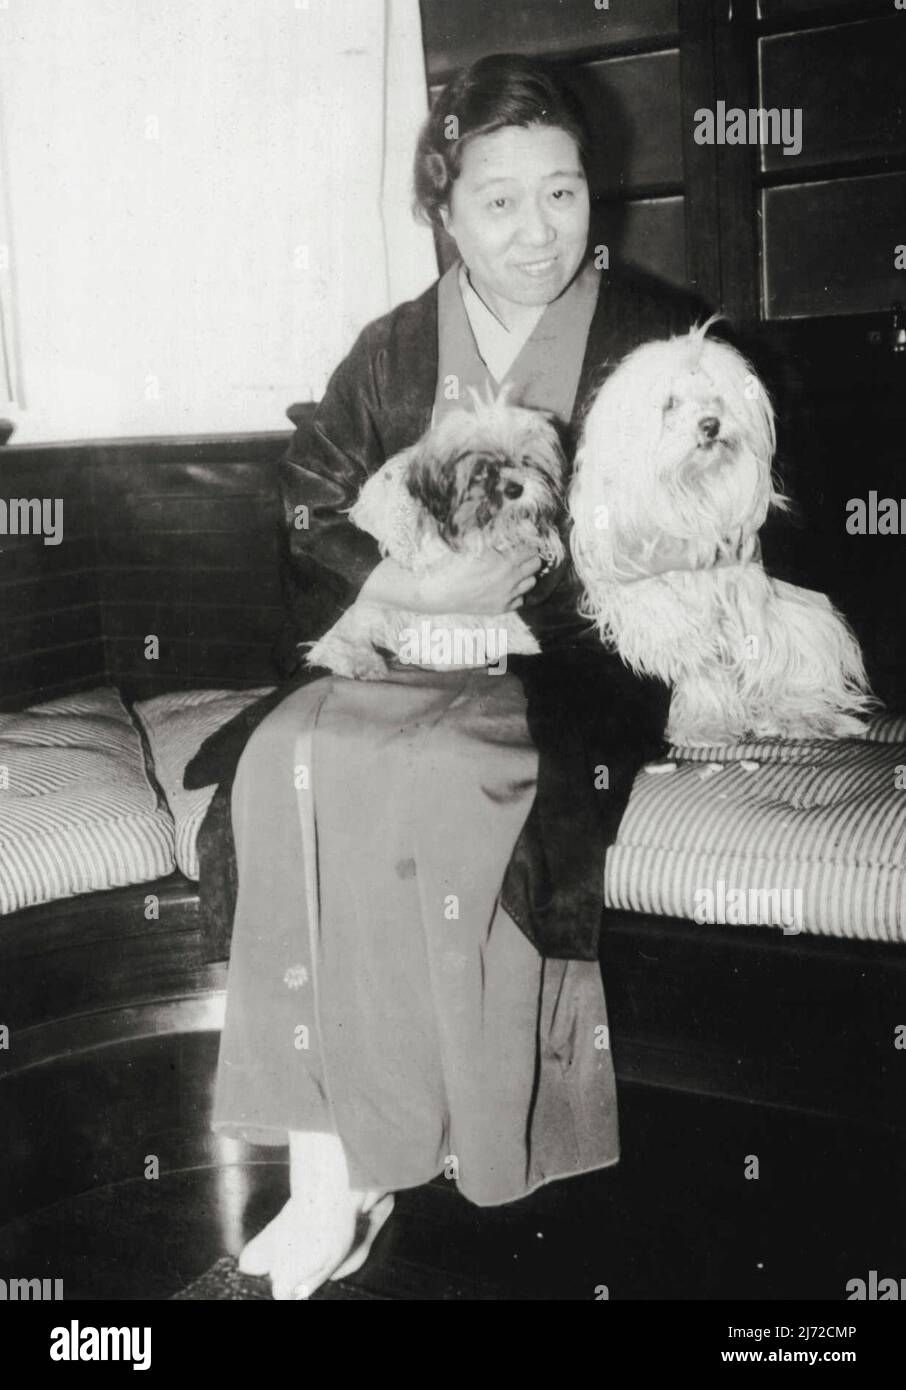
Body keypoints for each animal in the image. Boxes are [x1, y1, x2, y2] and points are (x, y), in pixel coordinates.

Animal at [308, 394, 569, 681]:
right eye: (480, 471)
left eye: (526, 460)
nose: (515, 489)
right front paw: (456, 658)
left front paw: (516, 640)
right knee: (338, 639)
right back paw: (360, 661)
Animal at [569, 321, 872, 750]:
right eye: (670, 404)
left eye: (716, 397)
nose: (710, 424)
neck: (692, 492)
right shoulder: (651, 593)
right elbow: (695, 657)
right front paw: (706, 722)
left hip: (808, 625)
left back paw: (802, 714)